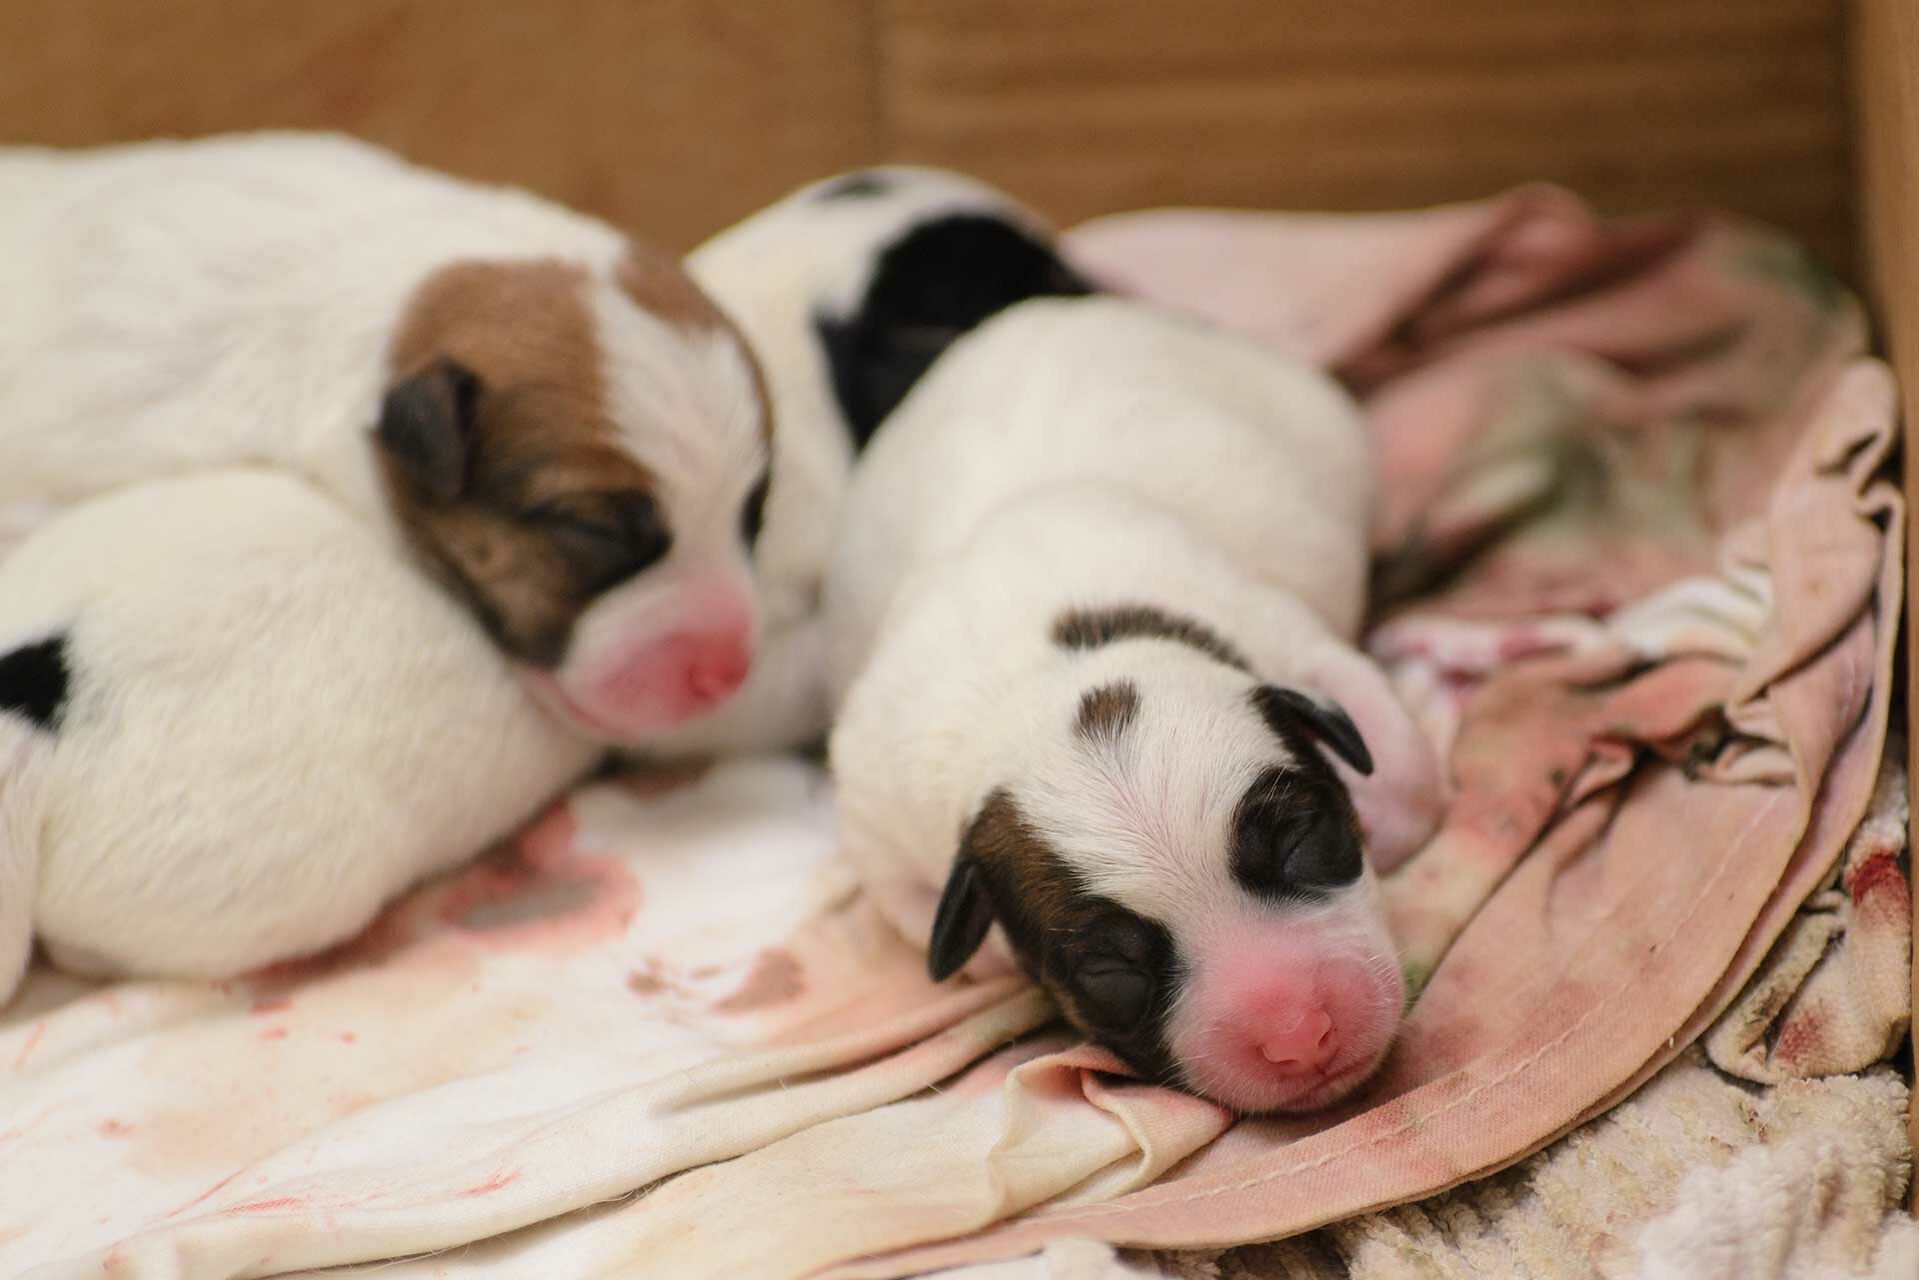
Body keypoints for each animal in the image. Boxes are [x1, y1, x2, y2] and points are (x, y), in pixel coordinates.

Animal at [825, 297, 1443, 1113]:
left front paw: (1388, 810)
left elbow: (1384, 744)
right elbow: (904, 895)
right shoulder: (878, 795)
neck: (1050, 661)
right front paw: (985, 956)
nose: (1300, 1035)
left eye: (1303, 842)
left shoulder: (1276, 628)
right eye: (1110, 972)